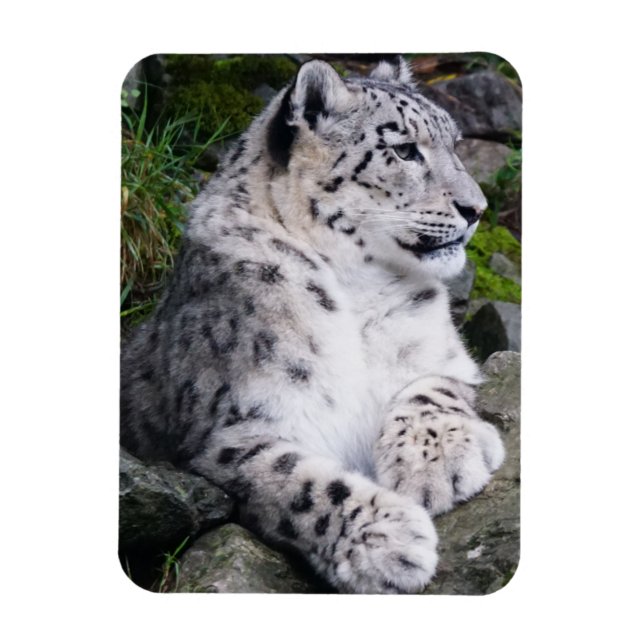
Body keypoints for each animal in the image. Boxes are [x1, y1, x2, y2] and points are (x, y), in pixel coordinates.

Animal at [120, 57, 505, 593]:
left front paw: (438, 463)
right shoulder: (234, 431)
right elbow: (300, 484)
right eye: (404, 149)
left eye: (455, 143)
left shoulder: (444, 357)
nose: (477, 210)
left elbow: (431, 388)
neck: (359, 289)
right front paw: (387, 540)